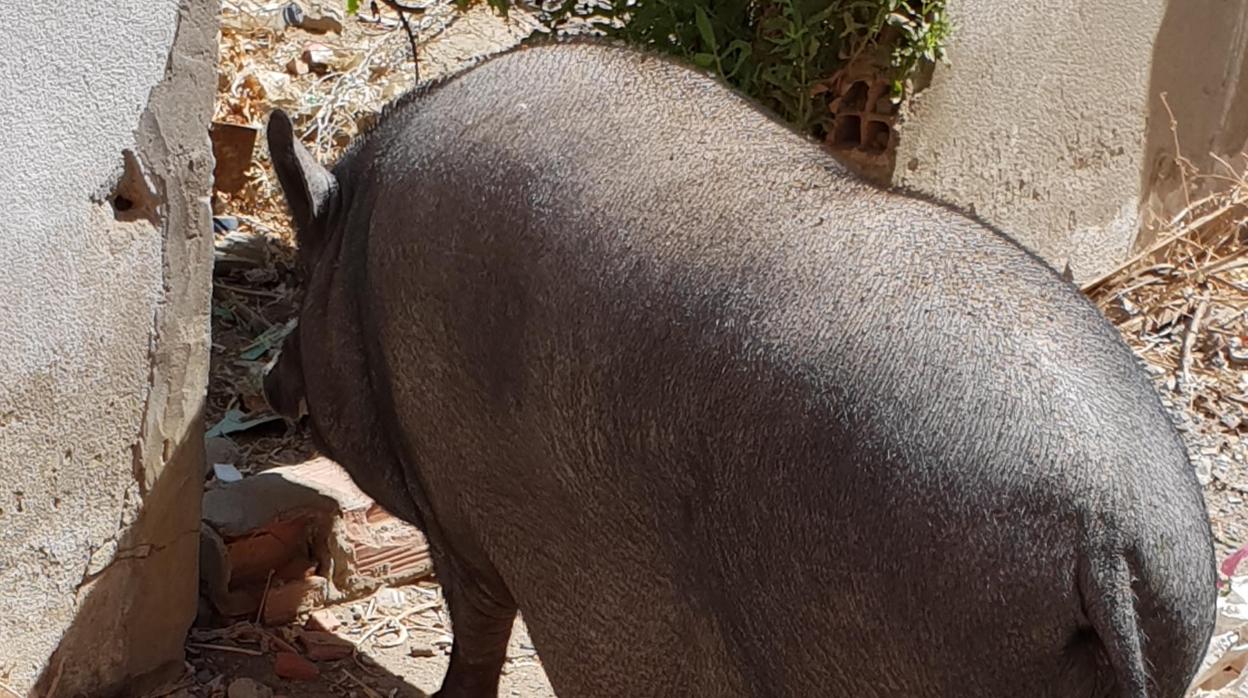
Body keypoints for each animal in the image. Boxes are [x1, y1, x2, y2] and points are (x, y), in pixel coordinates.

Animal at [262, 40, 1216, 697]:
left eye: (302, 279)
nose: (270, 381)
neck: (358, 256)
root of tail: (1112, 534)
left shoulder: (459, 516)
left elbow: (479, 628)